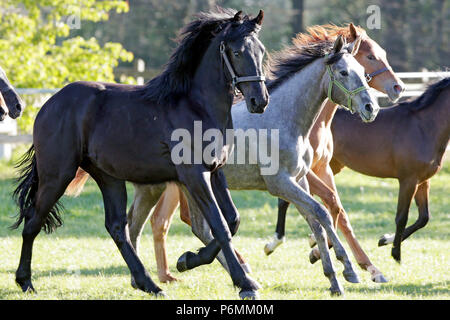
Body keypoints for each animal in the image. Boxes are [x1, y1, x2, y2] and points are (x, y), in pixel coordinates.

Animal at [12, 8, 268, 300]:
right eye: (236, 52)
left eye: (261, 51)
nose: (259, 101)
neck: (197, 106)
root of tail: (49, 105)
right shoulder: (194, 175)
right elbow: (221, 226)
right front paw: (244, 284)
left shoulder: (215, 171)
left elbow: (233, 220)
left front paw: (188, 259)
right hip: (57, 176)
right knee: (33, 221)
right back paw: (25, 282)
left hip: (108, 177)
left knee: (116, 227)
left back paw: (149, 284)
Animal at [113, 23, 404, 282]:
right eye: (344, 72)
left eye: (361, 71)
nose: (371, 107)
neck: (284, 119)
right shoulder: (281, 183)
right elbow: (323, 212)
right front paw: (348, 269)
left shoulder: (301, 179)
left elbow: (319, 217)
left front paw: (333, 271)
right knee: (170, 223)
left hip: (159, 186)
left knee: (155, 224)